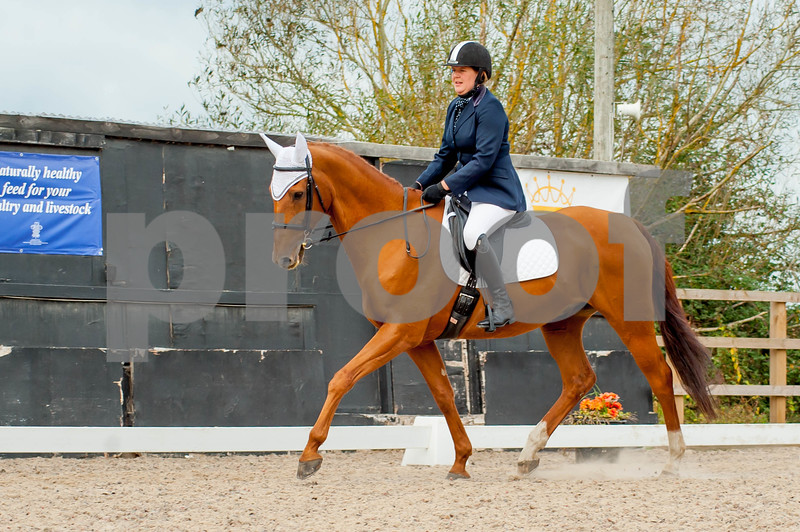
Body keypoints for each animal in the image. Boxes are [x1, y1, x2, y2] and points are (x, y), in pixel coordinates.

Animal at [260, 132, 712, 478]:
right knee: (579, 380)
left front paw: (309, 456)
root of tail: (631, 226)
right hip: (562, 323)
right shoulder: (417, 340)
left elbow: (341, 377)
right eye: (272, 194)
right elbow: (444, 394)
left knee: (659, 375)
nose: (282, 260)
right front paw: (460, 460)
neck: (393, 238)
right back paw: (528, 455)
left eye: (298, 193)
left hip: (627, 319)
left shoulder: (399, 332)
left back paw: (673, 461)